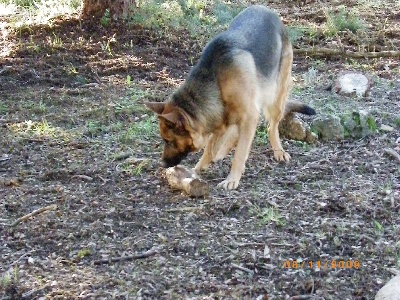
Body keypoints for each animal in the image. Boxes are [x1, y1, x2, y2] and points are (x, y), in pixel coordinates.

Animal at [145, 5, 314, 190]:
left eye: (169, 141)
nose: (162, 164)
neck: (216, 79)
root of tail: (267, 10)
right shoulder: (220, 118)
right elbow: (210, 147)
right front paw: (198, 168)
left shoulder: (249, 116)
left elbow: (239, 152)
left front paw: (232, 179)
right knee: (233, 134)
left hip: (276, 97)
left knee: (271, 126)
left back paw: (278, 151)